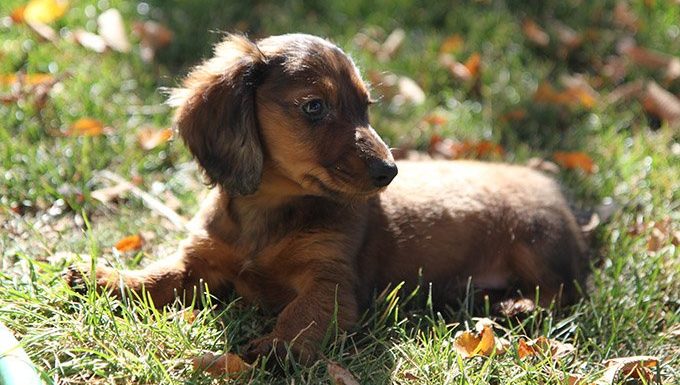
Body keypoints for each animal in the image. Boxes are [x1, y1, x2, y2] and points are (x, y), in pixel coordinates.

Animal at [70, 32, 588, 364]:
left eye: (365, 107)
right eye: (315, 106)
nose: (389, 172)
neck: (270, 212)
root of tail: (557, 190)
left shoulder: (332, 282)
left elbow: (302, 315)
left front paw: (277, 348)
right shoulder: (201, 257)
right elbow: (161, 274)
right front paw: (108, 278)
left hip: (535, 241)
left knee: (565, 291)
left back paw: (516, 307)